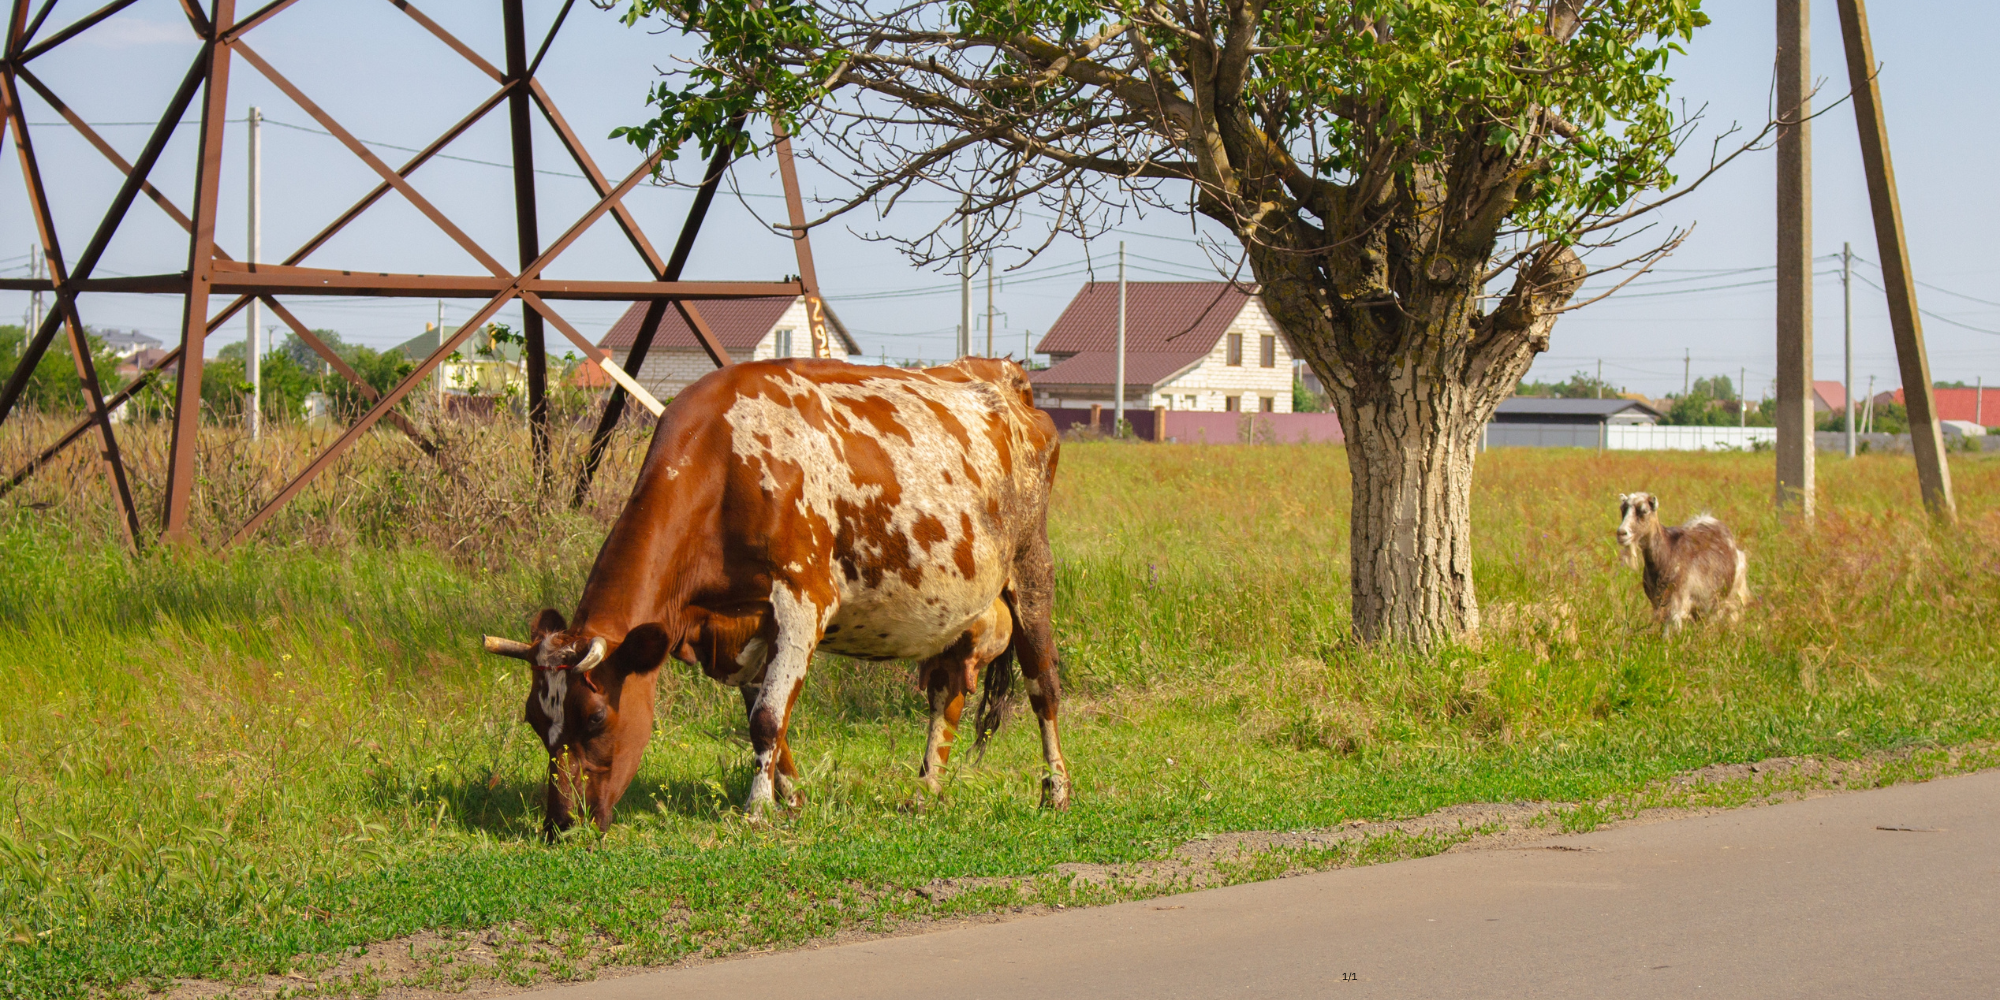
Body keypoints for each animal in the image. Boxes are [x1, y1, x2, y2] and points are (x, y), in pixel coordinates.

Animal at [478, 356, 1072, 832]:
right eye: (535, 720)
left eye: (596, 718)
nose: (560, 823)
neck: (723, 461)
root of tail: (1003, 373)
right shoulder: (739, 628)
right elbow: (766, 717)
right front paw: (793, 800)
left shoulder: (804, 598)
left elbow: (766, 717)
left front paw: (758, 810)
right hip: (959, 615)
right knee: (946, 695)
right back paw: (925, 792)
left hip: (1031, 568)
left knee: (1043, 683)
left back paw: (1057, 791)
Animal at [1616, 492, 1744, 632]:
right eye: (1622, 509)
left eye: (1644, 511)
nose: (1621, 533)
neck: (1668, 553)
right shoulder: (1657, 602)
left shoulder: (1677, 602)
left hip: (1723, 598)